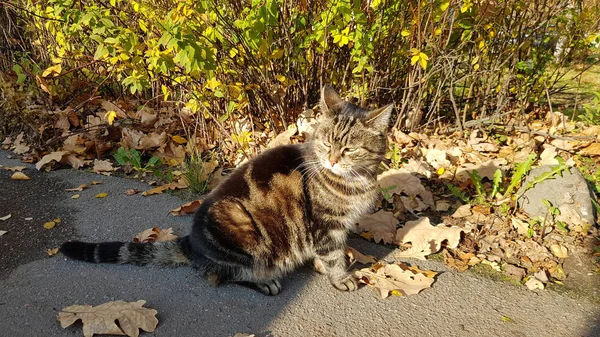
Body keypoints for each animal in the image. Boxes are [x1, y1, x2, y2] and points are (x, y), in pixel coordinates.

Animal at [58, 85, 392, 296]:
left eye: (349, 149)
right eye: (326, 143)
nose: (332, 159)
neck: (356, 180)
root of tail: (192, 241)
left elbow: (327, 253)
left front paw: (323, 266)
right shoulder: (325, 224)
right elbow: (334, 254)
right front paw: (341, 277)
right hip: (241, 224)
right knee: (223, 274)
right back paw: (265, 282)